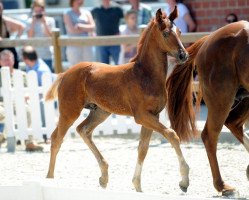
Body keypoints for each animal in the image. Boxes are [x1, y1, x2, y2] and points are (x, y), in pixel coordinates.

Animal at [45, 8, 190, 193]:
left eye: (180, 32)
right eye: (165, 33)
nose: (183, 55)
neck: (145, 75)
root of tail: (65, 73)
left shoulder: (153, 116)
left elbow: (143, 148)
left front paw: (137, 185)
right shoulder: (141, 116)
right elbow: (172, 135)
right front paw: (184, 181)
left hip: (100, 111)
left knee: (83, 130)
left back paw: (104, 176)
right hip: (69, 111)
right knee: (57, 138)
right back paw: (49, 178)